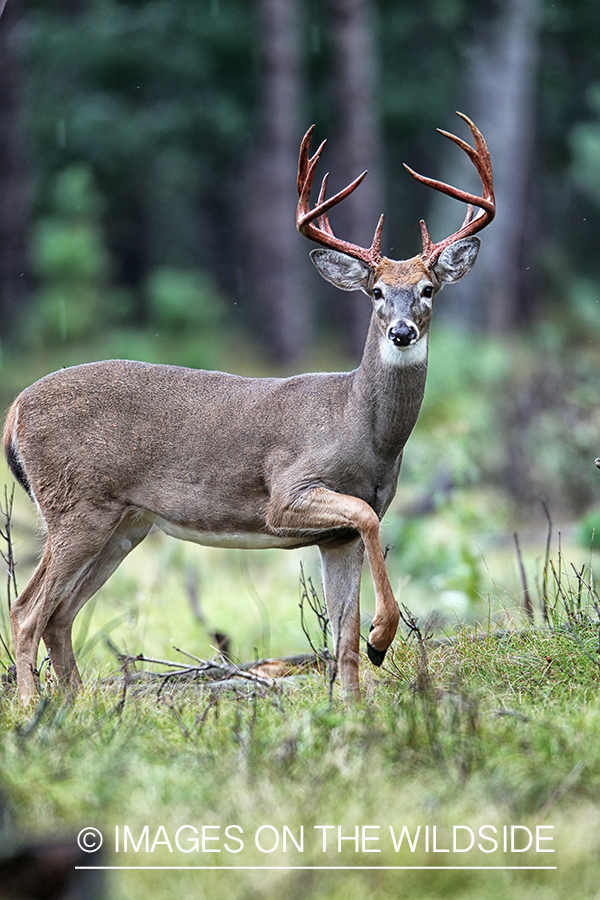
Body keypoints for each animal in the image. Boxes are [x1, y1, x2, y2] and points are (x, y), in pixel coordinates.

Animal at [2, 114, 494, 704]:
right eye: (376, 291)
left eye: (427, 289)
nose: (401, 332)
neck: (363, 431)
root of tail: (14, 412)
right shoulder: (287, 494)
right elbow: (367, 517)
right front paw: (382, 637)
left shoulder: (336, 539)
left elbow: (344, 630)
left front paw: (353, 700)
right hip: (75, 505)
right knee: (27, 609)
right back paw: (34, 707)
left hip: (123, 524)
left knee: (60, 614)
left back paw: (76, 704)